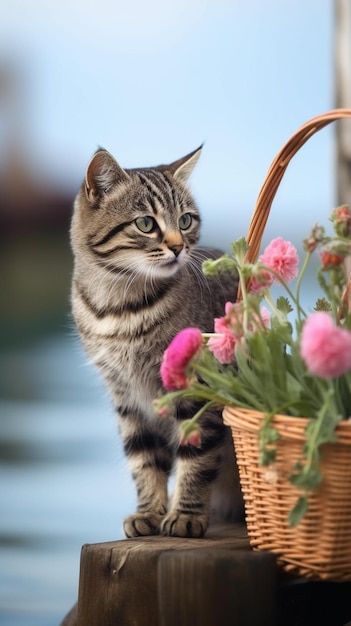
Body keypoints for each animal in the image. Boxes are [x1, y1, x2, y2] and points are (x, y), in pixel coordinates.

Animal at [70, 146, 243, 536]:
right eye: (146, 224)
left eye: (185, 221)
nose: (178, 248)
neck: (120, 308)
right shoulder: (126, 397)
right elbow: (143, 458)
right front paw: (149, 512)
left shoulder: (196, 390)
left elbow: (196, 455)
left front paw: (186, 515)